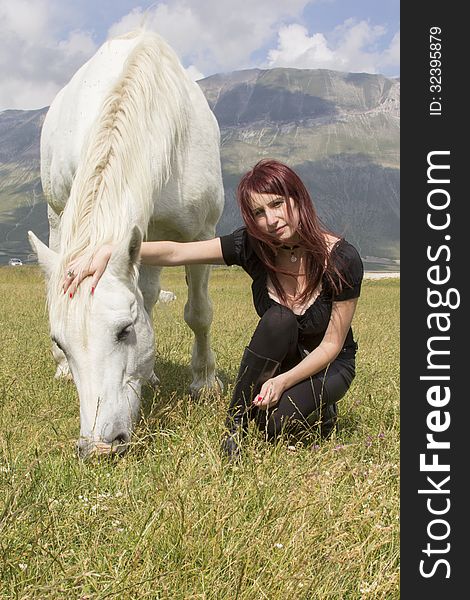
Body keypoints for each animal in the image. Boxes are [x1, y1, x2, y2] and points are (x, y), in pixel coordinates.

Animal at [28, 28, 225, 458]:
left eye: (124, 330)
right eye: (60, 341)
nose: (99, 446)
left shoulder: (201, 233)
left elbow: (199, 312)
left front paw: (204, 383)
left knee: (149, 293)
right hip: (58, 214)